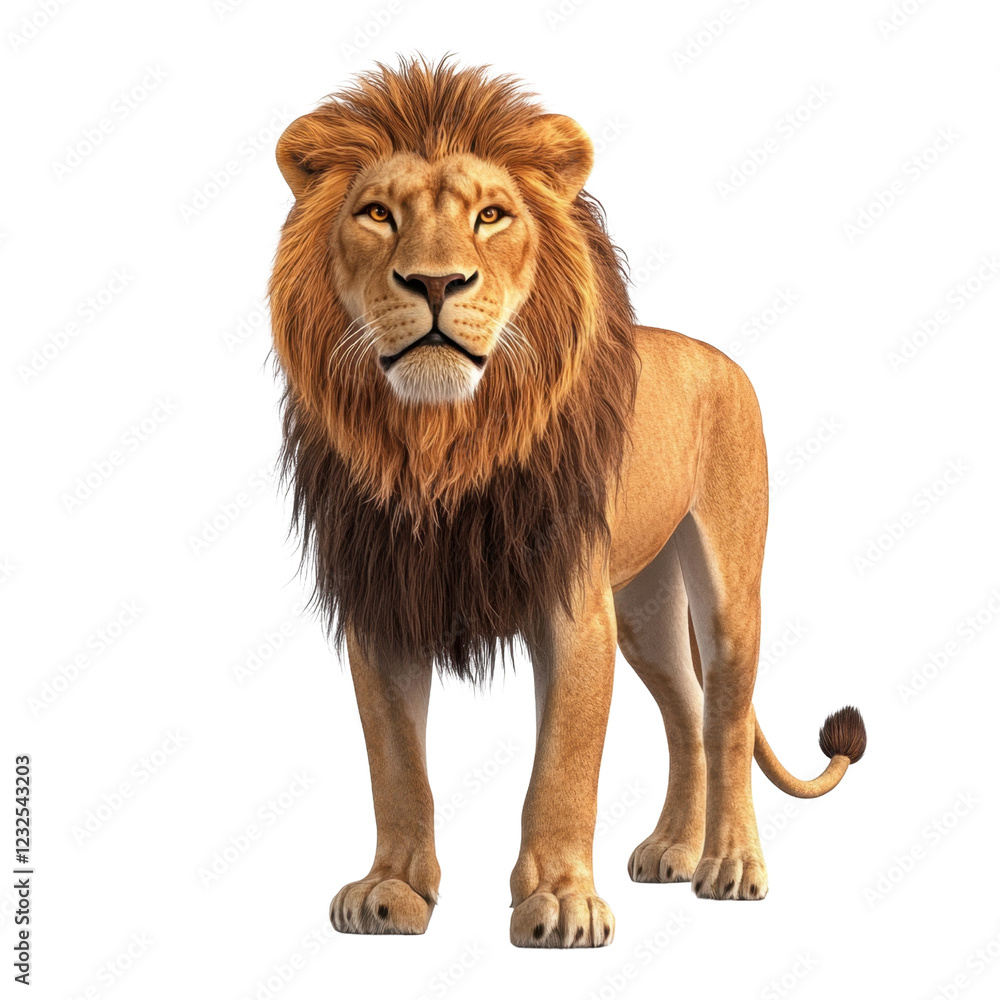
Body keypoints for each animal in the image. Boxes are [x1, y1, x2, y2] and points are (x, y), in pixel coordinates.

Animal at [268, 57, 866, 949]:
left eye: (491, 215)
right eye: (377, 214)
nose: (435, 282)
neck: (445, 444)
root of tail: (720, 358)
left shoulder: (574, 609)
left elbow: (564, 765)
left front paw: (560, 903)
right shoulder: (385, 602)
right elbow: (396, 764)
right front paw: (391, 889)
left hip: (726, 583)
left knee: (725, 715)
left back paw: (730, 864)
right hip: (645, 605)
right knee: (686, 710)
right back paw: (672, 851)